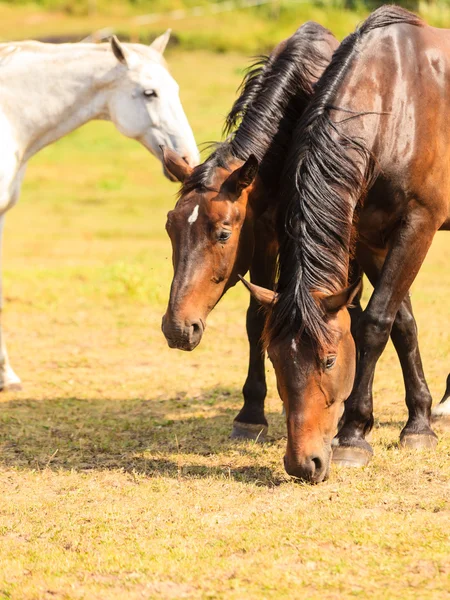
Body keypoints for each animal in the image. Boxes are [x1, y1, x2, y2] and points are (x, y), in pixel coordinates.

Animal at [161, 21, 338, 438]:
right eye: (170, 229)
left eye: (223, 234)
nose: (177, 329)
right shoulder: (261, 242)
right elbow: (256, 318)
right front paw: (252, 411)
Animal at [244, 5, 448, 482]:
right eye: (275, 359)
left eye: (330, 360)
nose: (304, 463)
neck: (395, 104)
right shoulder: (369, 236)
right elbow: (401, 323)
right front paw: (419, 421)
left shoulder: (419, 224)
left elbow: (374, 323)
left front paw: (354, 435)